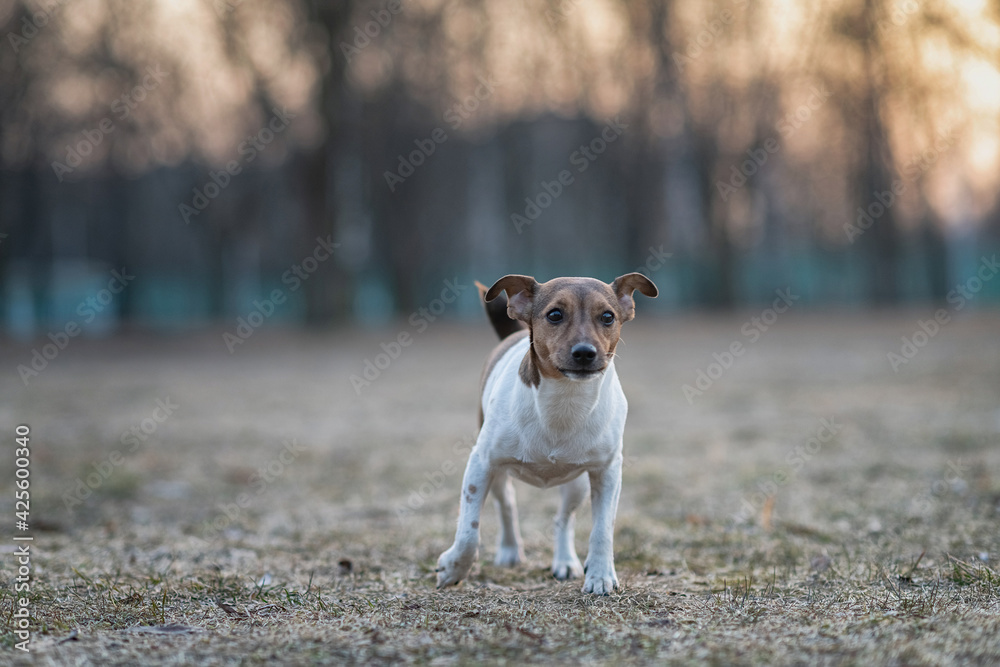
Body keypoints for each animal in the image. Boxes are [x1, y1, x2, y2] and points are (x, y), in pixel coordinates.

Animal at [436, 272, 656, 596]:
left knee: (562, 519)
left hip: (577, 484)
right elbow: (468, 532)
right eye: (554, 314)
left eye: (607, 316)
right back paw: (510, 550)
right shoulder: (480, 464)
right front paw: (453, 569)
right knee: (507, 505)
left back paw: (565, 561)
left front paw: (600, 575)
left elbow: (602, 529)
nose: (585, 352)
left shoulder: (607, 471)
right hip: (497, 474)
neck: (565, 399)